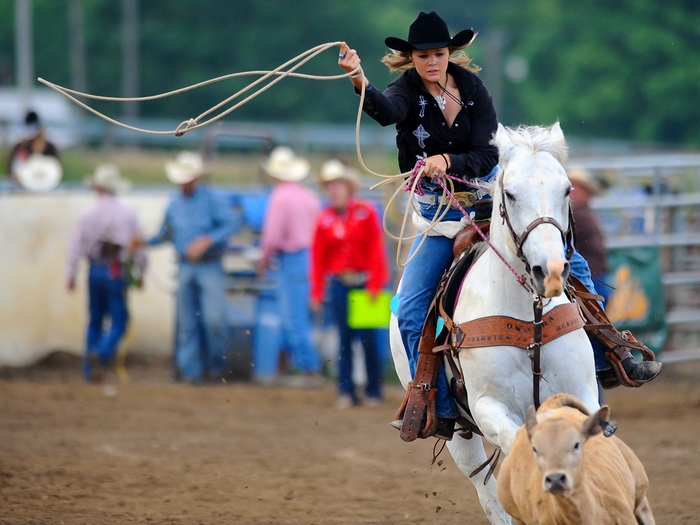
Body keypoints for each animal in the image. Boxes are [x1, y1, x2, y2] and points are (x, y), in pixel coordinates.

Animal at [392, 123, 600, 524]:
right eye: (512, 194)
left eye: (567, 189)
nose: (551, 272)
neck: (530, 321)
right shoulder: (489, 407)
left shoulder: (582, 392)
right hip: (459, 433)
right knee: (489, 493)